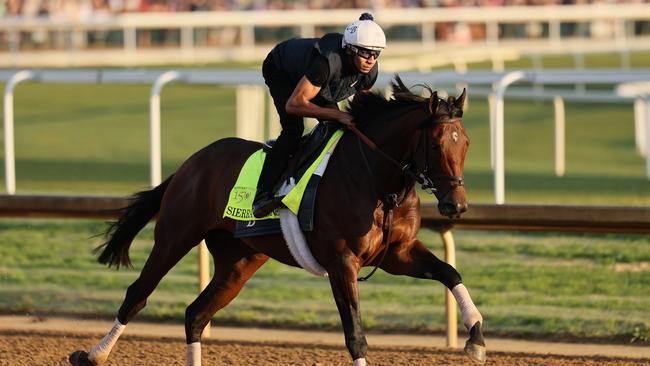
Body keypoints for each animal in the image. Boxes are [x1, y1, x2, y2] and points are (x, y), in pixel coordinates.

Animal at [68, 76, 484, 364]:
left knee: (195, 314)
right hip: (175, 235)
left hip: (239, 262)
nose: (457, 206)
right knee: (138, 295)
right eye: (436, 145)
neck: (378, 183)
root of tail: (191, 164)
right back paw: (94, 354)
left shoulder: (398, 253)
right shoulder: (341, 262)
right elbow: (355, 333)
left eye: (465, 143)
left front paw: (476, 339)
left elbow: (450, 272)